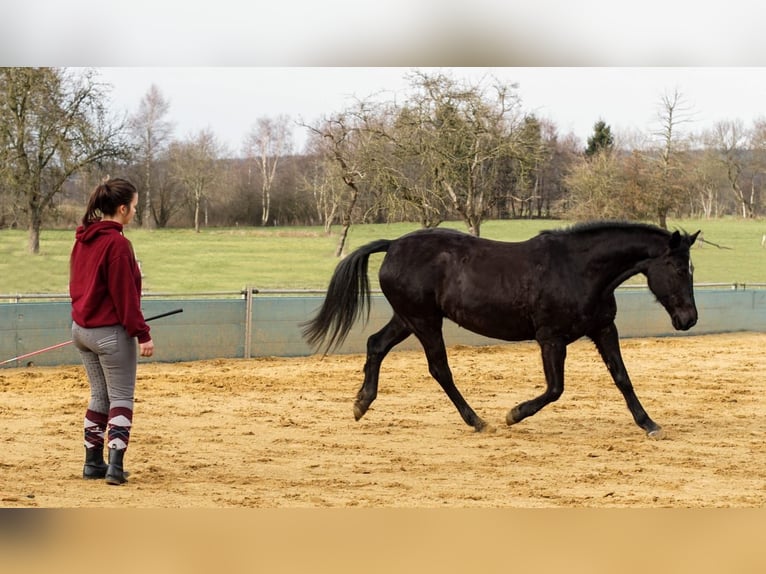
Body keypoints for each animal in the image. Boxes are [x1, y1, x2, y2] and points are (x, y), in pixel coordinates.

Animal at [302, 223, 704, 438]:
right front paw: (513, 414)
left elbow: (622, 378)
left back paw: (361, 403)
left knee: (376, 345)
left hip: (408, 318)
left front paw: (649, 423)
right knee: (439, 369)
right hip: (425, 321)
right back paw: (478, 421)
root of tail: (394, 244)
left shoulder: (604, 329)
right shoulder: (551, 339)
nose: (689, 319)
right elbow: (555, 389)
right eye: (678, 268)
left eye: (691, 268)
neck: (580, 270)